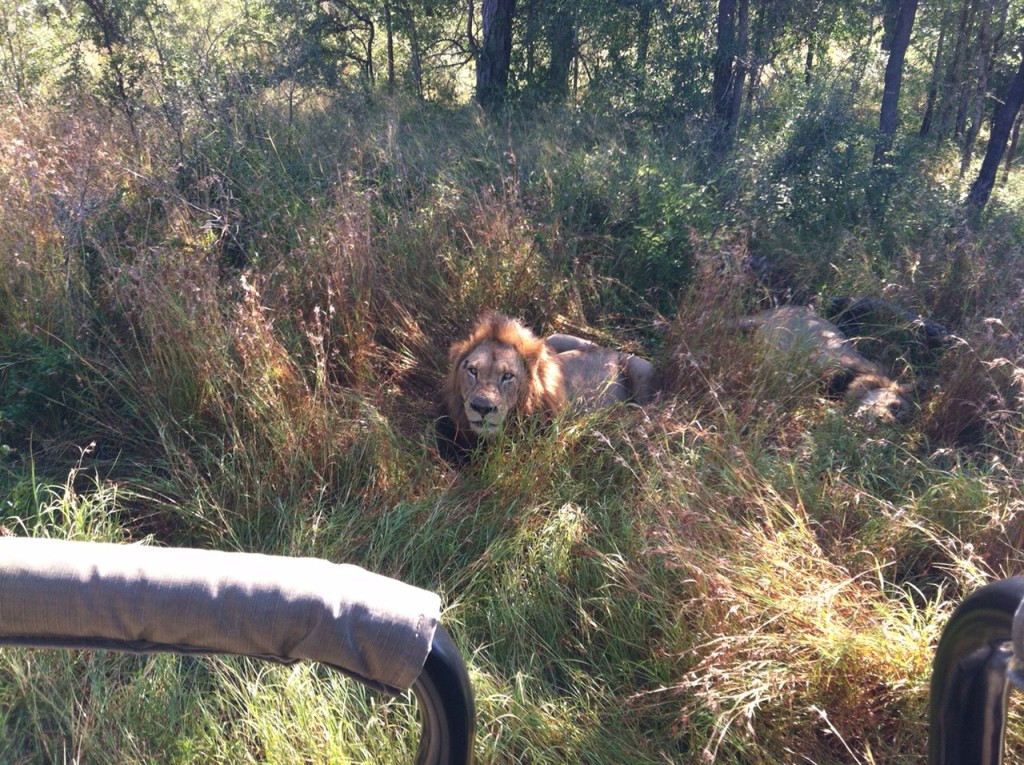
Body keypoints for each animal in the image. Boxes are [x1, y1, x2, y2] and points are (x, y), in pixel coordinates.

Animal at [435, 312, 658, 463]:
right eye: (473, 371)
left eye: (508, 376)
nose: (482, 408)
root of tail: (613, 350)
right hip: (555, 337)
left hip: (642, 369)